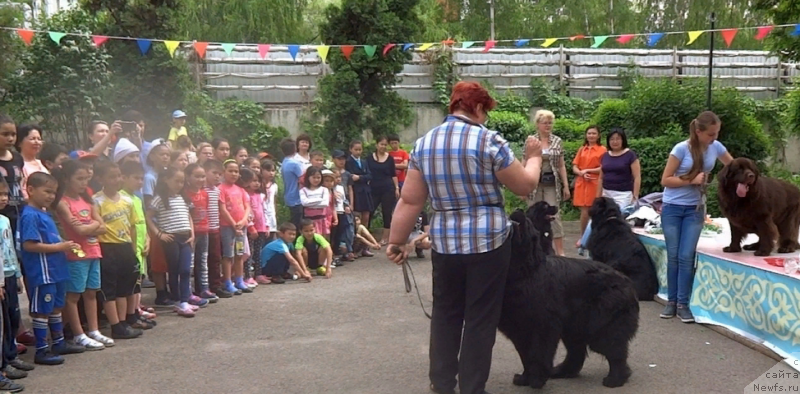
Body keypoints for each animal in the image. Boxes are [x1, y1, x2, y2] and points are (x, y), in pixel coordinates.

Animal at [496, 209, 640, 388]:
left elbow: (537, 354)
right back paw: (561, 371)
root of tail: (626, 281)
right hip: (574, 326)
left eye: (527, 223)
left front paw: (537, 379)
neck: (525, 271)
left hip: (600, 327)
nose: (518, 211)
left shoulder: (542, 326)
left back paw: (615, 379)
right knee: (576, 353)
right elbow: (525, 355)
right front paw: (525, 378)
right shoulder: (518, 328)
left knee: (615, 352)